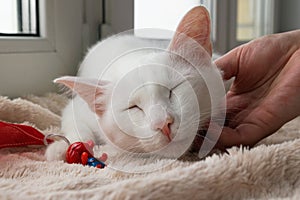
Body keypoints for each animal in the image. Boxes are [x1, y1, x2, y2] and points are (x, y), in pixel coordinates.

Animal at [45, 6, 227, 161]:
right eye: (133, 107)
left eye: (172, 90)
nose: (163, 124)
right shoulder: (75, 109)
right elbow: (75, 125)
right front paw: (63, 147)